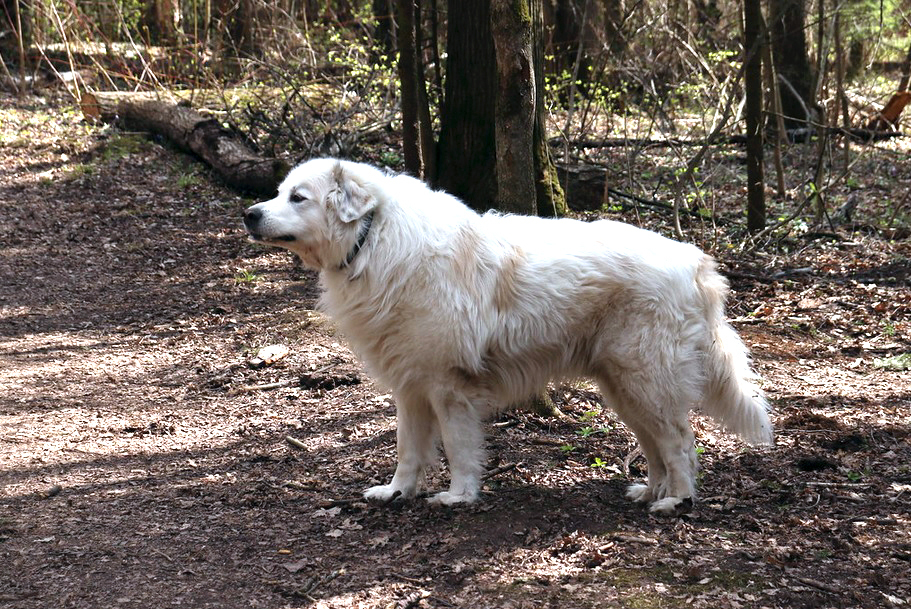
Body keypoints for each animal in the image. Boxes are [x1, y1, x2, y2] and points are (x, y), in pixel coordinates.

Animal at [242, 158, 768, 512]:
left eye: (298, 197)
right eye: (278, 191)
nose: (250, 214)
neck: (374, 238)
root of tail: (698, 263)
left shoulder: (448, 387)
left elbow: (458, 449)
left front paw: (458, 496)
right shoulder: (410, 386)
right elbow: (408, 449)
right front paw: (396, 492)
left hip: (646, 379)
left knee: (680, 441)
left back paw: (676, 501)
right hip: (624, 388)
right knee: (656, 444)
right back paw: (650, 490)